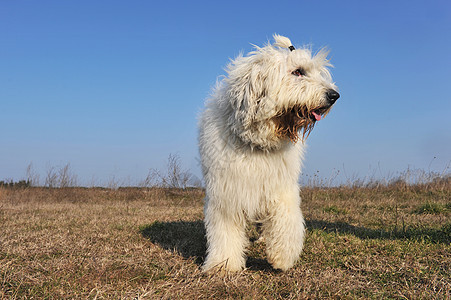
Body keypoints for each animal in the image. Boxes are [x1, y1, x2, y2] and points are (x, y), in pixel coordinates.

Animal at [198, 35, 340, 272]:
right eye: (298, 72)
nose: (334, 95)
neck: (258, 143)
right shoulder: (227, 190)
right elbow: (225, 229)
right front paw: (223, 264)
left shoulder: (280, 185)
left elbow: (286, 217)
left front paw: (282, 256)